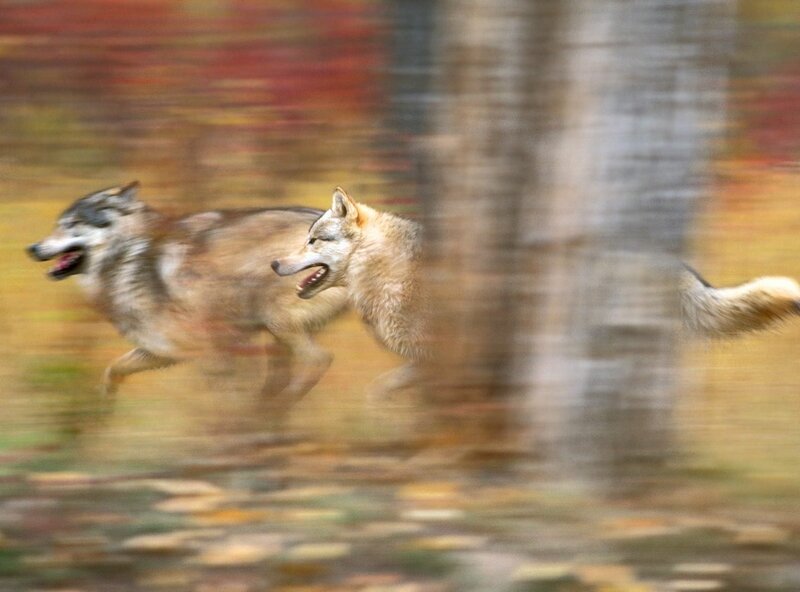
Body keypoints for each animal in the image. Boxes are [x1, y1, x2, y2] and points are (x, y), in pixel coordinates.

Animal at [28, 181, 348, 407]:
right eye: (58, 224)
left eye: (70, 225)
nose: (32, 248)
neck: (126, 256)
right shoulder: (161, 349)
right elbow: (113, 369)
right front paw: (104, 404)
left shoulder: (209, 351)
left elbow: (227, 398)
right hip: (275, 335)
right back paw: (270, 407)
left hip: (276, 321)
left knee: (320, 359)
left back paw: (278, 405)